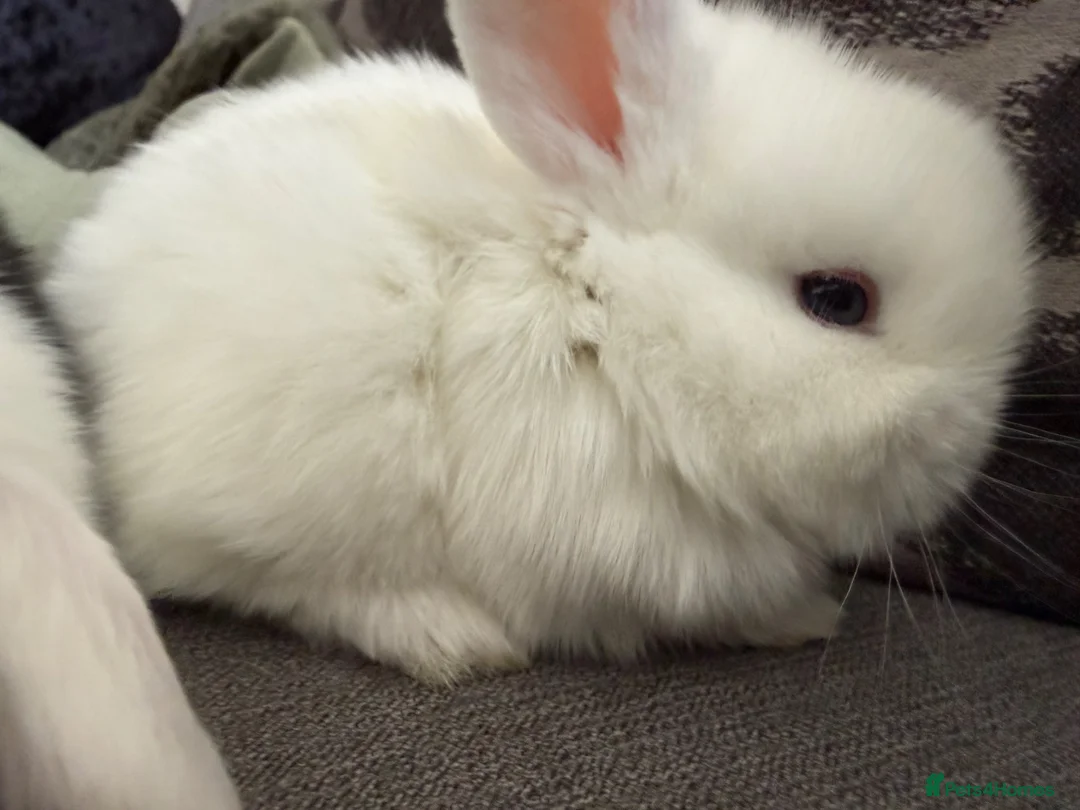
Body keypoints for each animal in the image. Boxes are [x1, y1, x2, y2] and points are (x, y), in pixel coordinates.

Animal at [43, 0, 1034, 684]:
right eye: (837, 300)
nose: (974, 445)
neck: (604, 310)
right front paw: (807, 616)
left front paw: (804, 615)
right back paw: (451, 639)